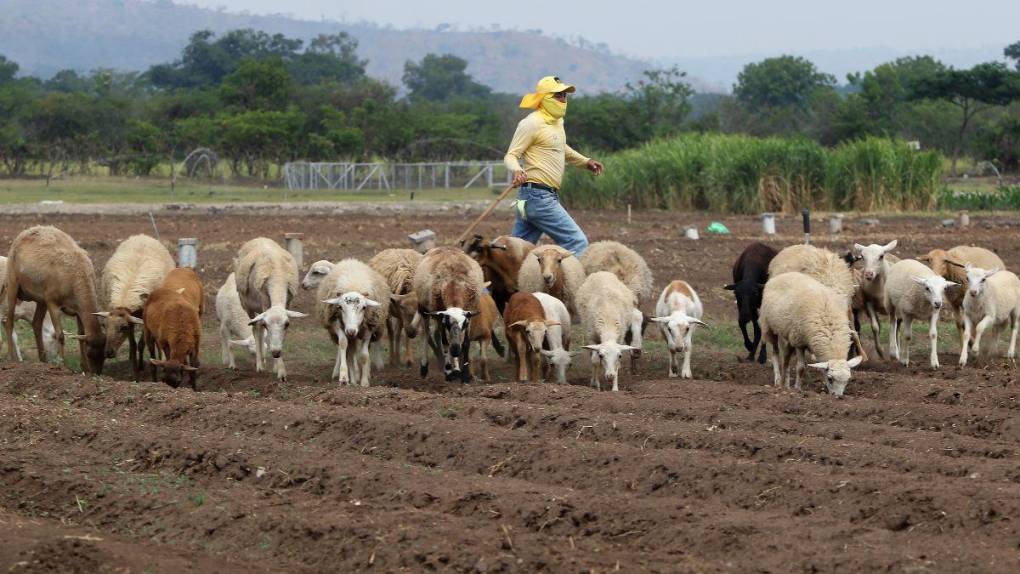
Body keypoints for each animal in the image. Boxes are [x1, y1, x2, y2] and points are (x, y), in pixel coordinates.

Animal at [2, 224, 107, 373]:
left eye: (105, 354)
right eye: (90, 353)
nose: (96, 373)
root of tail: (29, 229)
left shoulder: (78, 310)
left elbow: (81, 334)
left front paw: (84, 367)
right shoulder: (52, 302)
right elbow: (60, 335)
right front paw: (63, 365)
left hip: (41, 298)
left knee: (36, 323)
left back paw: (43, 360)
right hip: (12, 284)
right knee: (9, 323)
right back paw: (12, 359)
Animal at [95, 233, 175, 381]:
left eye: (123, 327)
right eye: (104, 326)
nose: (108, 353)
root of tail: (142, 236)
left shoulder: (143, 320)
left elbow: (145, 344)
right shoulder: (131, 319)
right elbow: (132, 346)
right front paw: (135, 375)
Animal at [234, 236, 306, 381]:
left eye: (287, 324)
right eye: (267, 325)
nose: (276, 353)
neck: (277, 275)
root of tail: (259, 238)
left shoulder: (287, 303)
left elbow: (282, 337)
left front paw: (278, 368)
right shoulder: (264, 301)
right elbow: (262, 330)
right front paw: (281, 372)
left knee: (258, 328)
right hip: (247, 305)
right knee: (256, 329)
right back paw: (260, 365)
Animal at [410, 245, 481, 381]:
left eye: (464, 324)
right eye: (447, 324)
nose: (455, 350)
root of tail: (444, 246)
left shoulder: (470, 314)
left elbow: (466, 343)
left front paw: (464, 374)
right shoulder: (440, 317)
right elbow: (445, 343)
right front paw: (448, 371)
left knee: (436, 335)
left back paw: (456, 369)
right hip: (423, 308)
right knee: (426, 335)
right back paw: (424, 367)